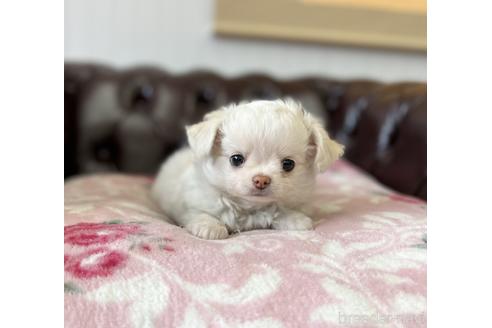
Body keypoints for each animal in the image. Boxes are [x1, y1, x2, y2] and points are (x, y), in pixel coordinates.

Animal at [152, 98, 344, 240]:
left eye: (288, 164)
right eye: (236, 159)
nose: (261, 180)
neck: (250, 207)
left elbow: (281, 210)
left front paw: (296, 220)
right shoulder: (192, 202)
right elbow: (198, 213)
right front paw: (210, 227)